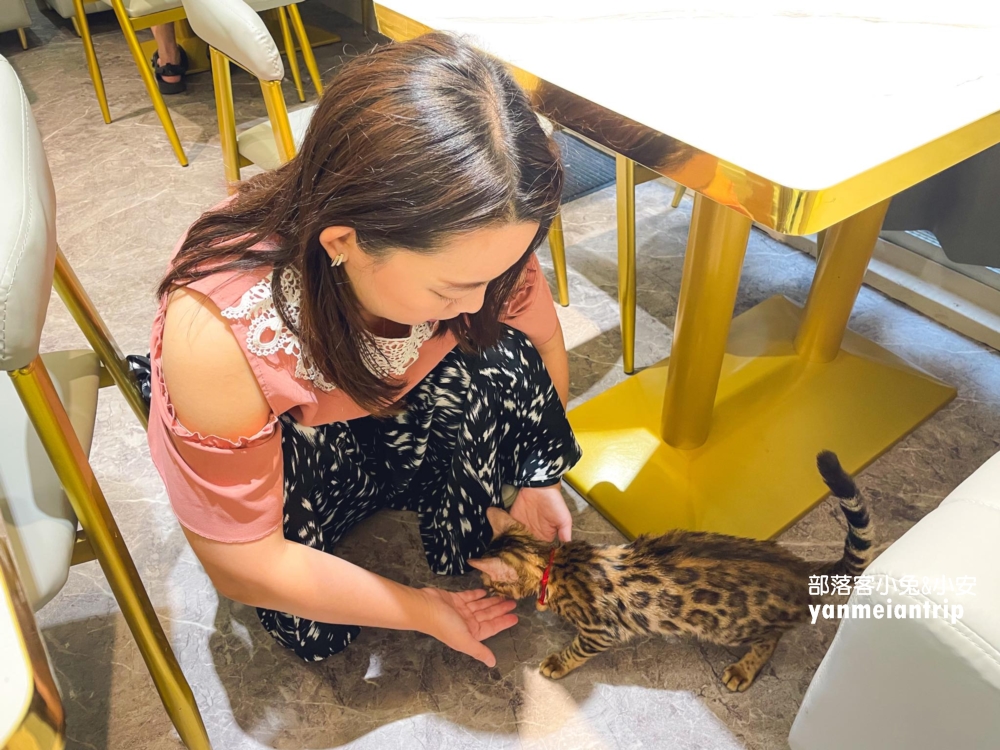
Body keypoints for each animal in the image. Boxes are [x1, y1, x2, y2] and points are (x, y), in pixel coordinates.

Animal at [464, 452, 872, 692]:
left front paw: (556, 663)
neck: (556, 564)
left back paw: (743, 670)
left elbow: (577, 648)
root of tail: (799, 567)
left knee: (771, 640)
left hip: (735, 627)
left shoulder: (601, 631)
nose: (481, 590)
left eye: (489, 583)